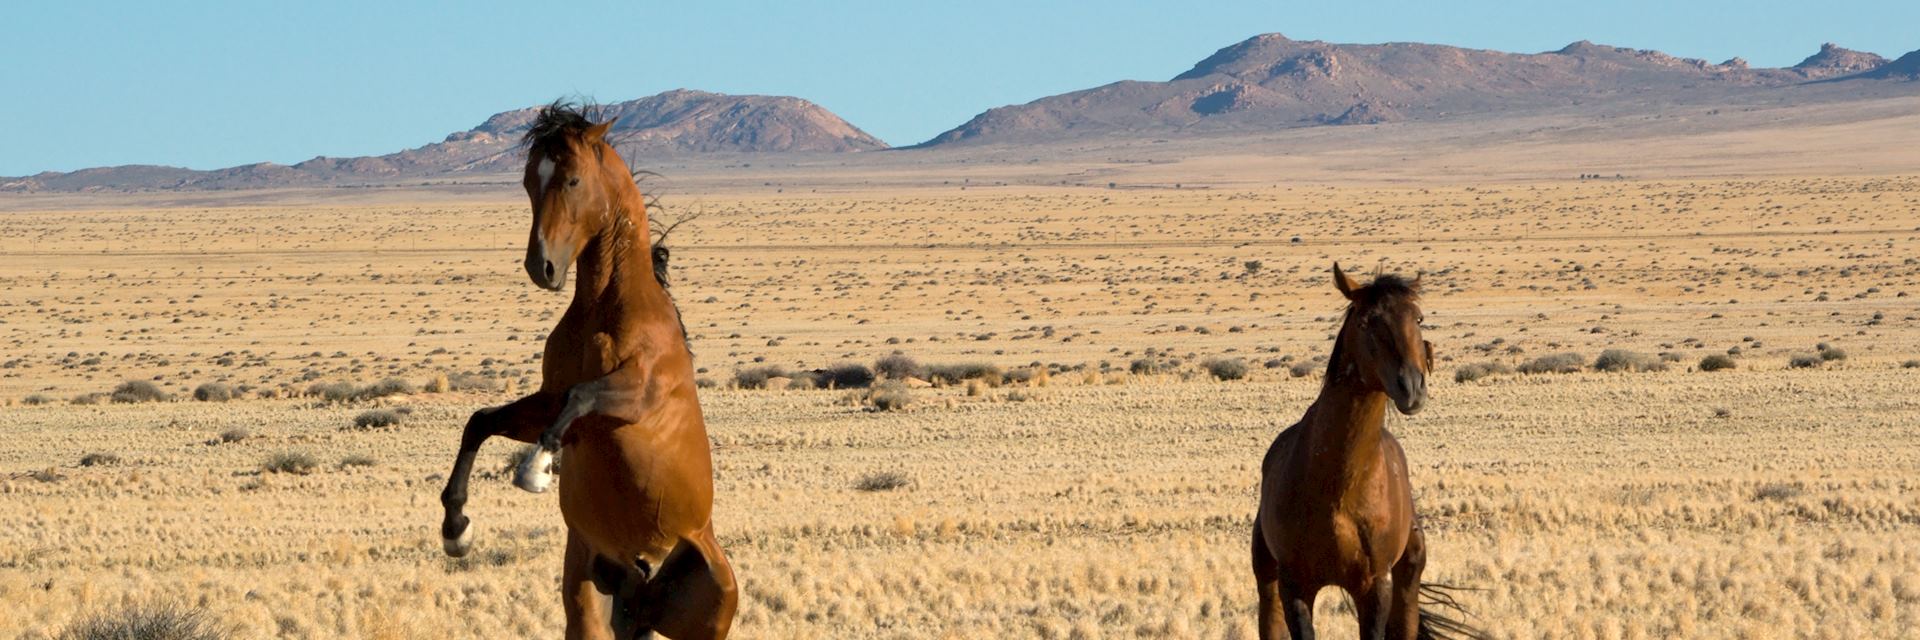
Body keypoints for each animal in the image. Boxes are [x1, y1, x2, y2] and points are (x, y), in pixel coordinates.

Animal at [439, 103, 737, 638]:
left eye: (573, 180)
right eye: (528, 182)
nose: (542, 267)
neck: (606, 309)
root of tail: (646, 580)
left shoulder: (636, 398)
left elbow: (582, 396)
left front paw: (535, 469)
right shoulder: (547, 401)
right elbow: (481, 421)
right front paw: (456, 530)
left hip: (707, 622)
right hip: (589, 598)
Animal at [1244, 263, 1482, 638]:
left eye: (1418, 318)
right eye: (1367, 321)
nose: (1411, 387)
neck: (1338, 487)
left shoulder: (1374, 587)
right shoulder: (1295, 586)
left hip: (1407, 582)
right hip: (1268, 583)